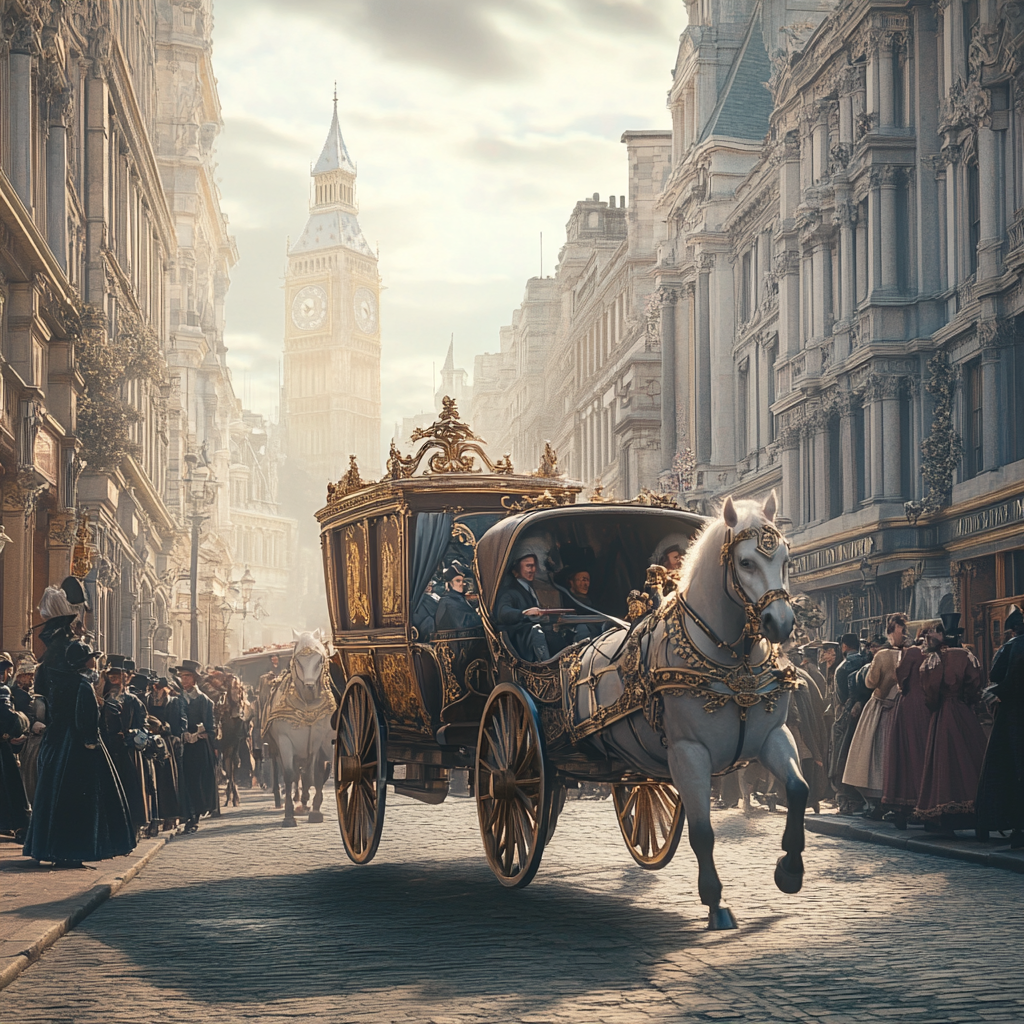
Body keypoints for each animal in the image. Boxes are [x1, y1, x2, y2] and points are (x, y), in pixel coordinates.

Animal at [264, 626, 335, 827]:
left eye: (320, 659)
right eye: (298, 660)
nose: (310, 686)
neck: (307, 707)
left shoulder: (321, 738)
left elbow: (317, 773)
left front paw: (315, 811)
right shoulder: (285, 742)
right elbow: (289, 775)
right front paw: (289, 815)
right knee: (295, 774)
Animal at [573, 491, 802, 933]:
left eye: (785, 558)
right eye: (745, 562)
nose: (780, 624)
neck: (734, 663)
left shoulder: (773, 737)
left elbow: (798, 791)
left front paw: (790, 870)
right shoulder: (688, 753)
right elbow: (702, 832)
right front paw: (716, 902)